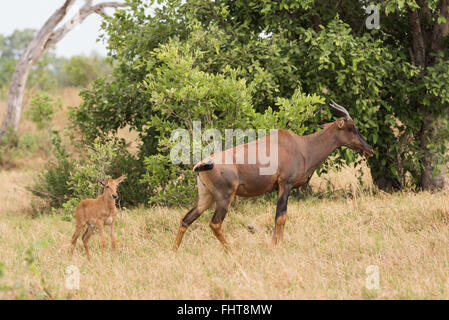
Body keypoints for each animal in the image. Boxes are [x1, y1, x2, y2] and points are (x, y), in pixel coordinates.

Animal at [173, 101, 372, 251]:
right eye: (352, 128)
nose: (369, 149)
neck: (301, 146)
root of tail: (203, 163)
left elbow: (282, 217)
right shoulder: (285, 185)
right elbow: (280, 216)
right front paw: (277, 246)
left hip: (205, 197)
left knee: (186, 219)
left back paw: (175, 251)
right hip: (224, 197)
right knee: (215, 224)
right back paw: (232, 251)